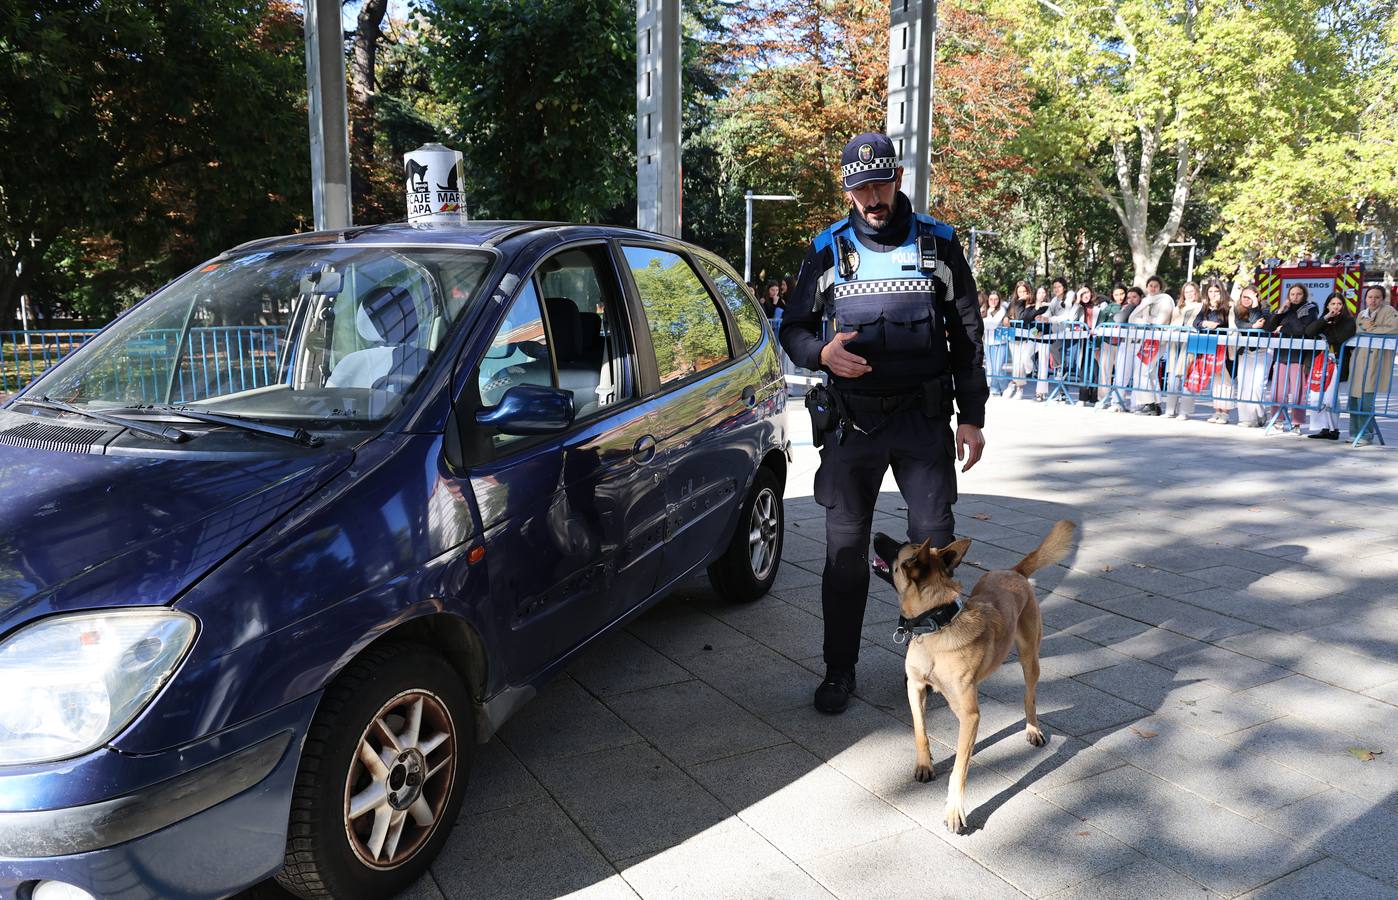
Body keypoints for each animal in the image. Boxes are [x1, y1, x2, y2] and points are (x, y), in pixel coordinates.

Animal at [872, 519, 1079, 838]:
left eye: (900, 547)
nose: (877, 533)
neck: (935, 626)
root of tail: (1014, 571)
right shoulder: (916, 688)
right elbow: (920, 731)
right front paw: (925, 765)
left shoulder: (969, 715)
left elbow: (959, 769)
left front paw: (954, 811)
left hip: (1030, 659)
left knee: (1029, 697)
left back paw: (1032, 728)